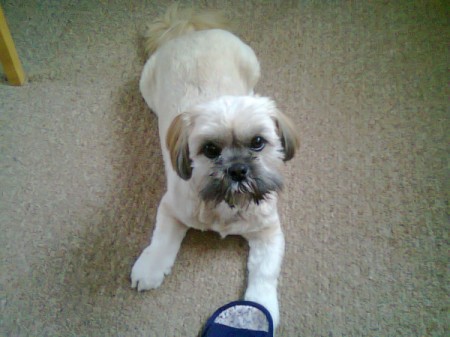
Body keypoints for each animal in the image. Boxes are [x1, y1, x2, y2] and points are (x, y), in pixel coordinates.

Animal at [130, 4, 298, 326]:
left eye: (258, 142)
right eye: (210, 149)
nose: (238, 169)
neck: (227, 203)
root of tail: (189, 34)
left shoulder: (269, 231)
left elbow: (264, 273)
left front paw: (261, 308)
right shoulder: (171, 207)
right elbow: (161, 241)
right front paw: (150, 267)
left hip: (251, 61)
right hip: (147, 84)